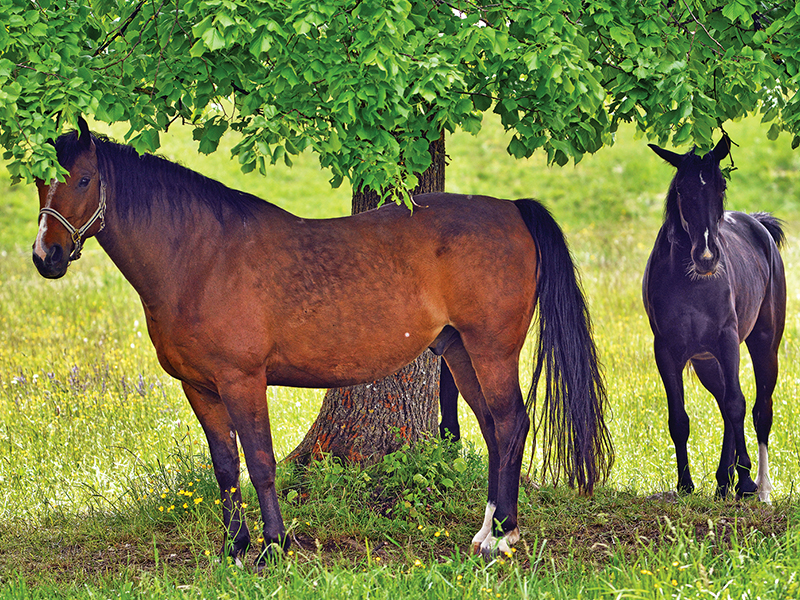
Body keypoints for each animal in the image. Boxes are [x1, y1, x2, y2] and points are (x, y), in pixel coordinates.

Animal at [32, 117, 613, 567]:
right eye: (40, 181)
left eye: (83, 178)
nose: (46, 257)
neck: (199, 256)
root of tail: (512, 209)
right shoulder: (200, 387)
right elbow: (225, 467)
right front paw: (232, 549)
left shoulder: (243, 381)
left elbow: (261, 462)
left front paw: (272, 548)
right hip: (460, 353)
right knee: (495, 430)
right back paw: (488, 531)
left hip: (491, 350)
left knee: (511, 424)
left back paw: (502, 537)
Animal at [643, 136, 786, 502]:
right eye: (682, 189)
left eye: (721, 185)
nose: (706, 257)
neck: (692, 283)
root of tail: (759, 224)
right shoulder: (667, 351)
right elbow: (679, 419)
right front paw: (685, 484)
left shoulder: (727, 340)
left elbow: (738, 405)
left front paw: (746, 482)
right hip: (707, 361)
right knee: (723, 404)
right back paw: (723, 481)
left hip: (764, 344)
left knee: (759, 409)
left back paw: (760, 486)